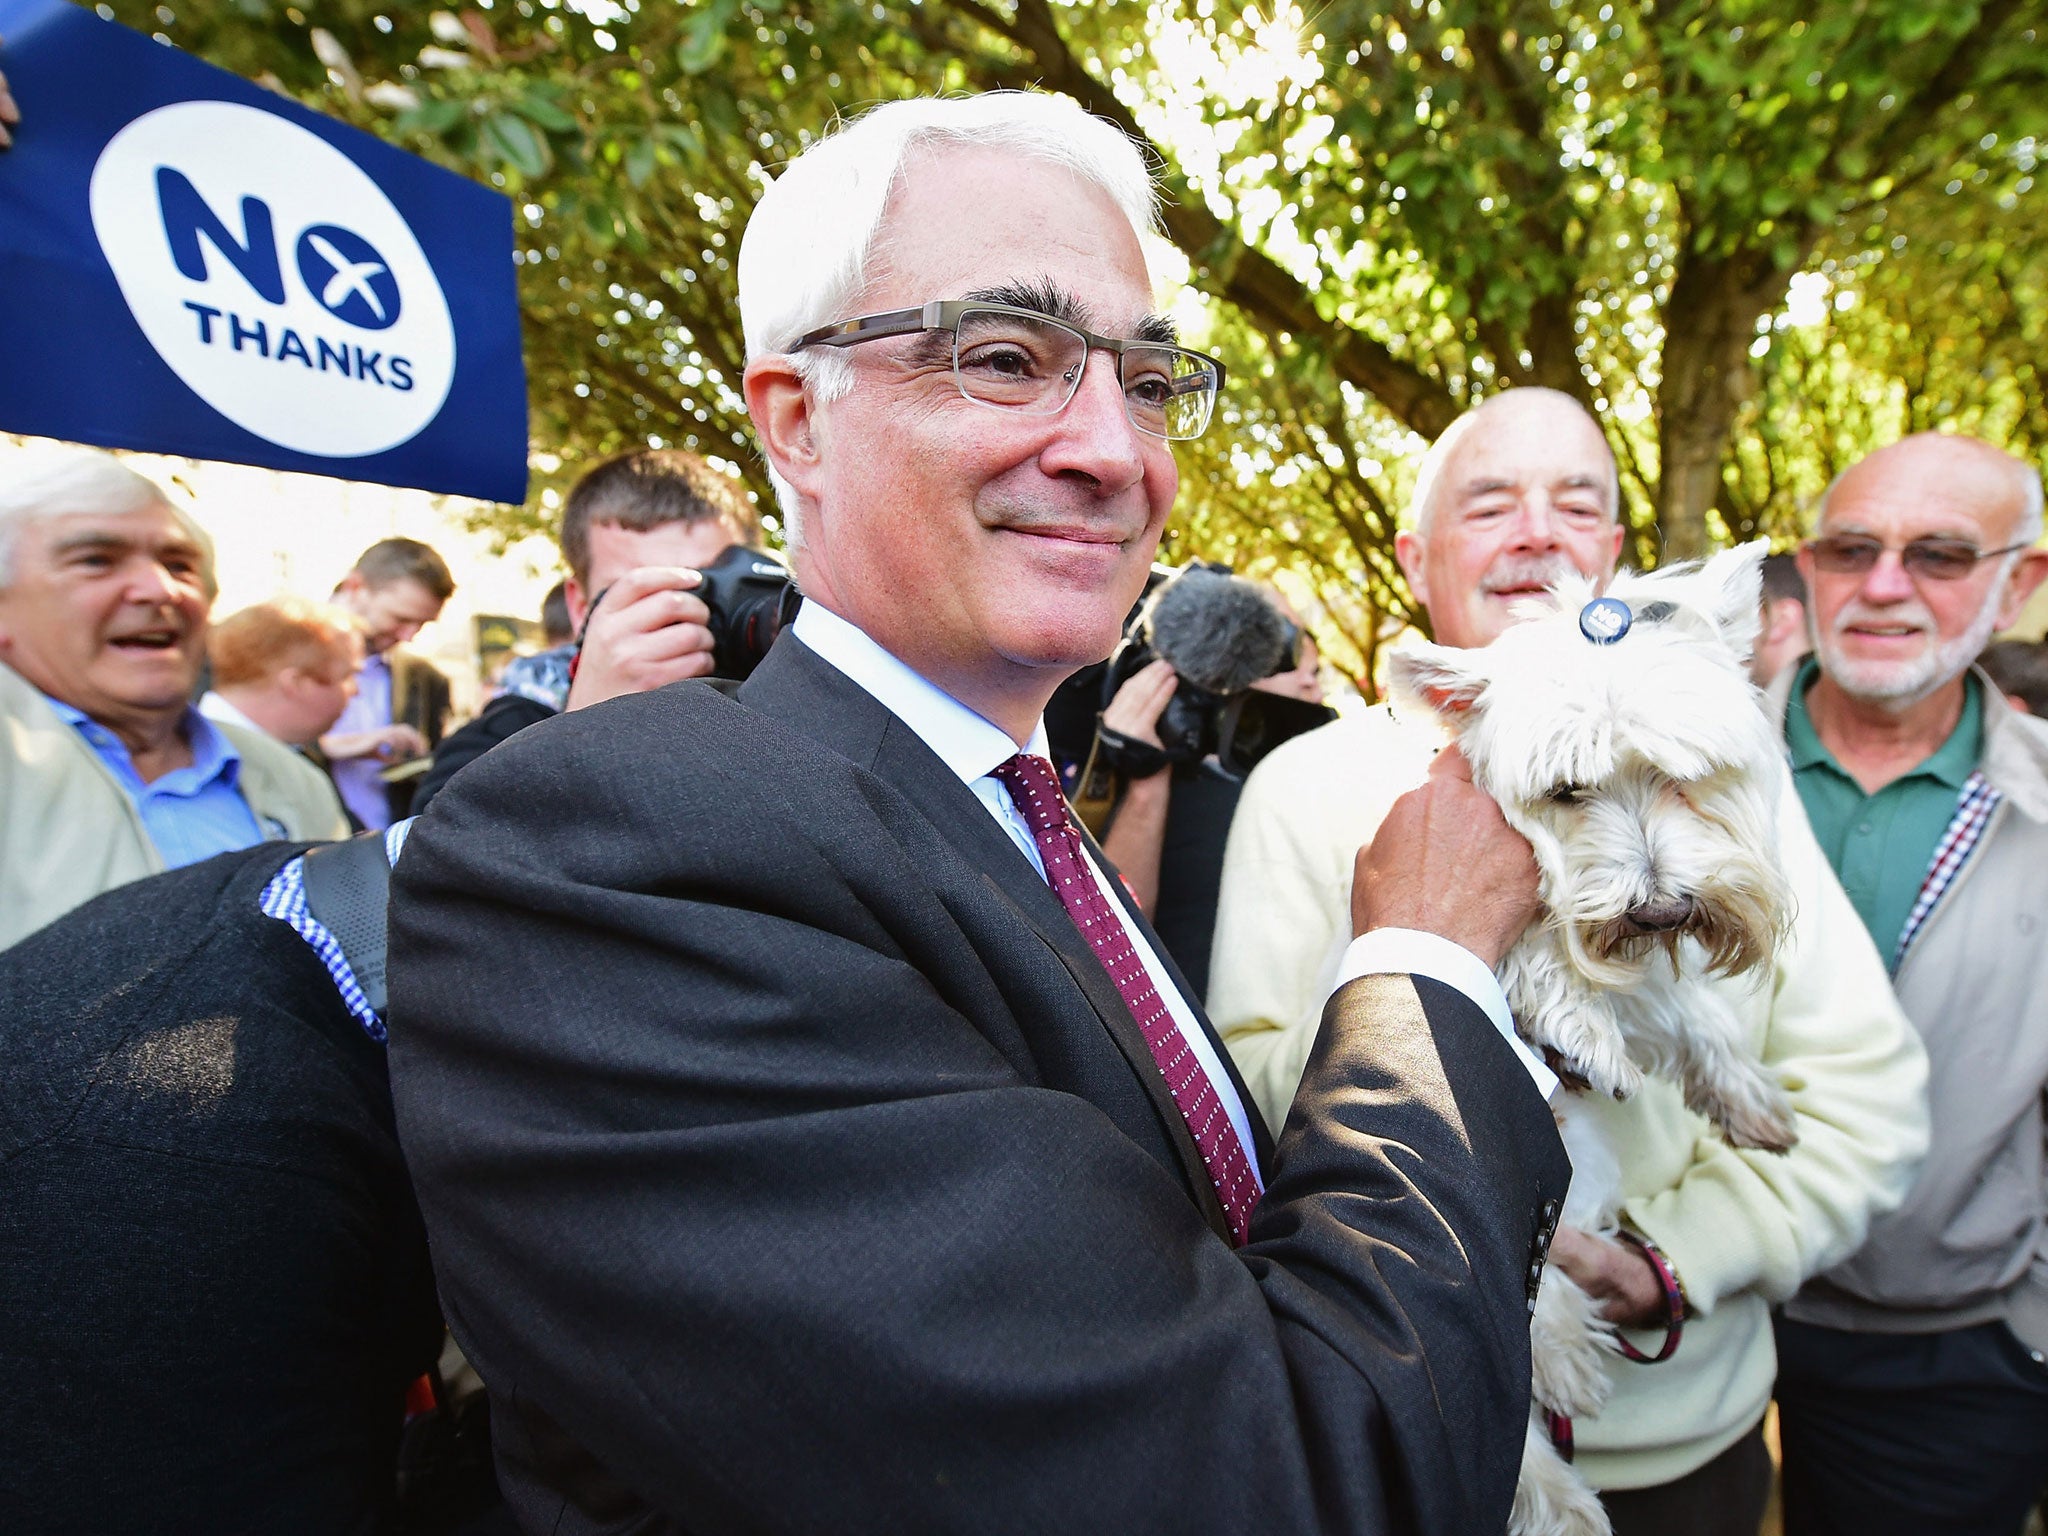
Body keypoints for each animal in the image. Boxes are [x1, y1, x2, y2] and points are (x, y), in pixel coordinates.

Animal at [1392, 544, 1794, 1536]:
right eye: (1568, 792)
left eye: (1686, 774)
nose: (1659, 907)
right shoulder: (1513, 937)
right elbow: (1540, 968)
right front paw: (1583, 1030)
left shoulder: (1645, 983)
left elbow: (1691, 1015)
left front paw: (1748, 1099)